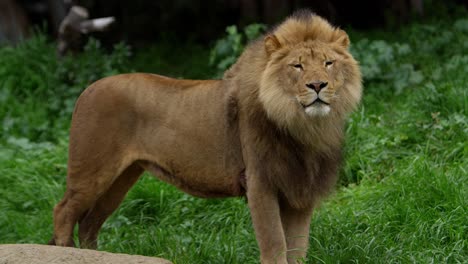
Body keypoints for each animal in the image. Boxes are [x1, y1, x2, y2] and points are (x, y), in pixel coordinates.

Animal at [49, 10, 362, 264]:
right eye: (297, 66)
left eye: (329, 63)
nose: (318, 85)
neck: (305, 126)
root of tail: (88, 89)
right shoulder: (260, 182)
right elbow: (275, 243)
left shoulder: (300, 189)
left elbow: (297, 248)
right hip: (92, 169)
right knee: (63, 211)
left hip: (123, 177)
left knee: (89, 223)